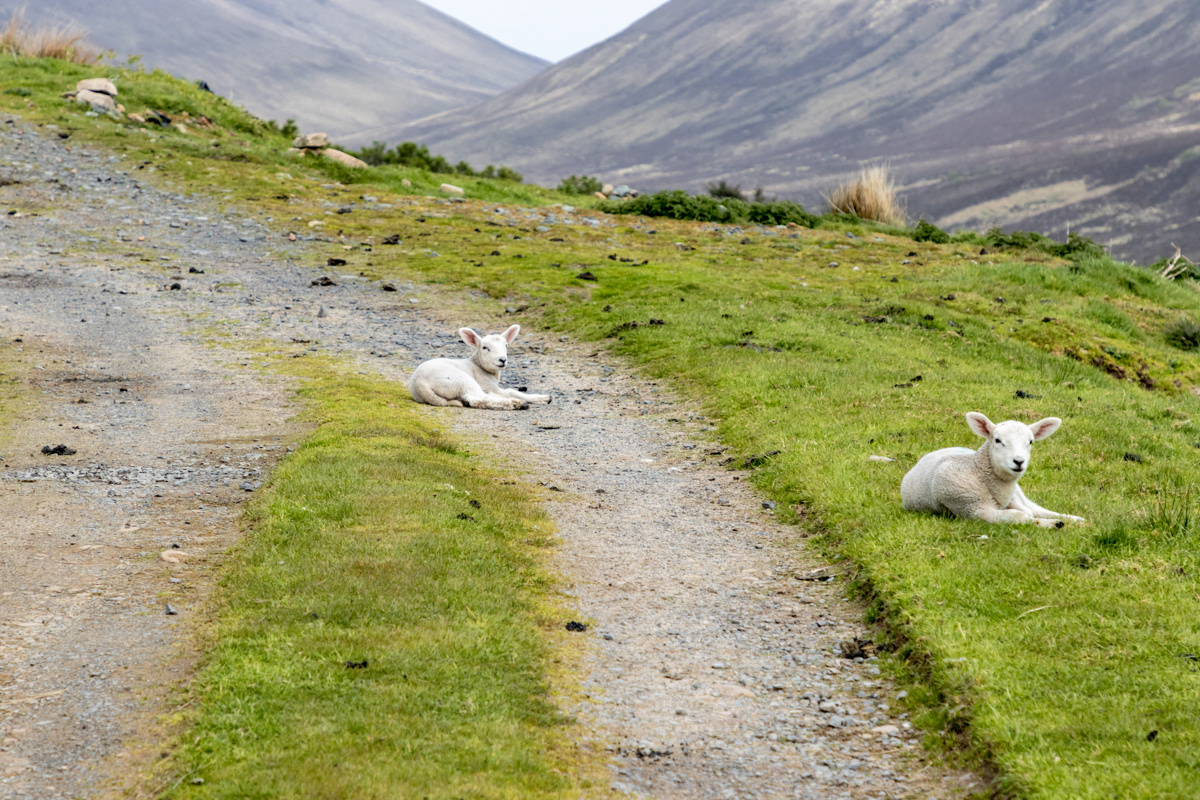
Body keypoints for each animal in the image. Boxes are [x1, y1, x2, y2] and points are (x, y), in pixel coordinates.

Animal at [408, 324, 551, 410]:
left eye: (506, 345)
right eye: (485, 347)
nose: (502, 360)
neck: (478, 365)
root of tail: (420, 385)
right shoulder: (487, 384)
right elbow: (511, 391)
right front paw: (543, 398)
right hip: (460, 380)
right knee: (478, 398)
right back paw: (517, 403)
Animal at [901, 412, 1084, 527]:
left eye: (1030, 442)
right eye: (997, 440)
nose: (1019, 461)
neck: (977, 469)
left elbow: (1027, 513)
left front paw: (1060, 521)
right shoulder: (973, 509)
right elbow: (1019, 516)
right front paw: (1051, 525)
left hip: (1018, 494)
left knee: (1037, 509)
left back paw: (1076, 519)